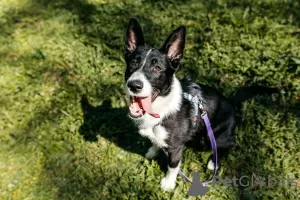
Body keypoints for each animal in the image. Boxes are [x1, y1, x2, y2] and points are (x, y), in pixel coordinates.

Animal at [123, 17, 278, 191]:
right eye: (133, 63)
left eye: (157, 68)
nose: (134, 85)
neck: (161, 107)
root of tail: (231, 102)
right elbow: (157, 142)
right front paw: (153, 150)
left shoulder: (176, 148)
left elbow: (173, 165)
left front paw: (168, 183)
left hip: (212, 138)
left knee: (230, 144)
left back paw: (212, 162)